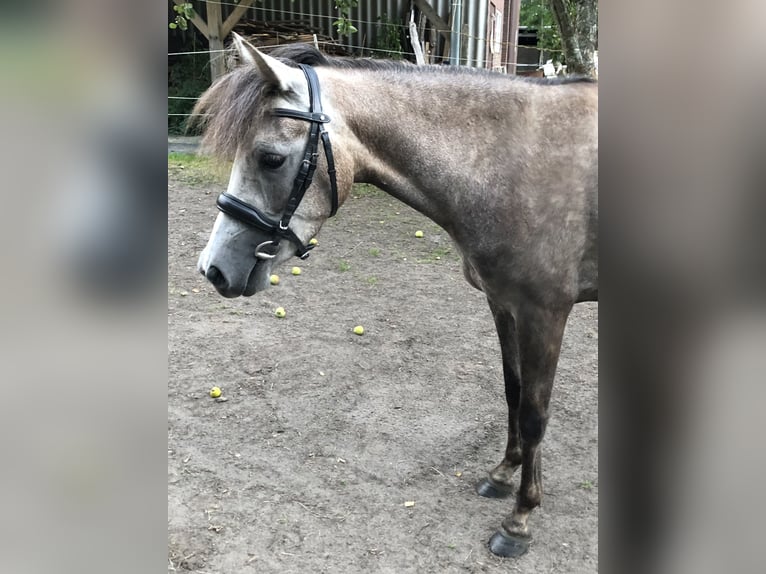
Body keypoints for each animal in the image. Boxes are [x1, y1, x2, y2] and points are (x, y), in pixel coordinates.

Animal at [192, 34, 598, 558]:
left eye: (271, 158)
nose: (214, 269)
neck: (515, 164)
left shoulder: (545, 313)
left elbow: (534, 414)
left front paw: (520, 519)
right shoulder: (504, 304)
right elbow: (514, 392)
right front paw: (503, 475)